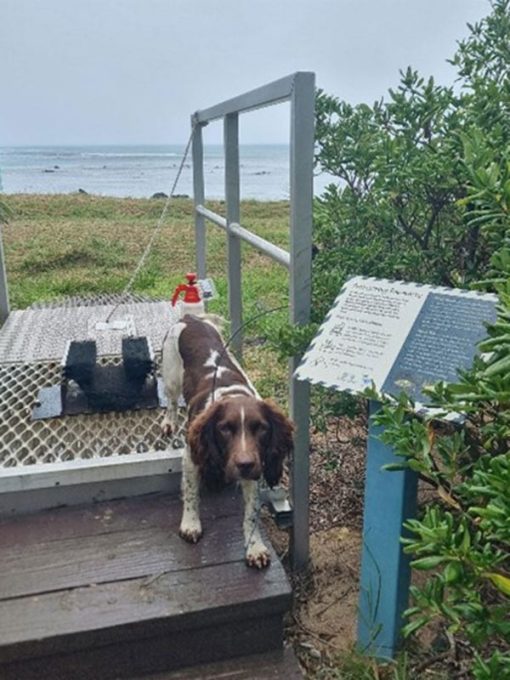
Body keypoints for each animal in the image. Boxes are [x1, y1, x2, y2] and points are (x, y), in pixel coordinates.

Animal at [161, 314, 292, 568]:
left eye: (261, 428)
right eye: (225, 429)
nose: (244, 464)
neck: (232, 394)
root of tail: (191, 318)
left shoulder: (254, 467)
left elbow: (251, 513)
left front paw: (254, 546)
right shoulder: (191, 456)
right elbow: (191, 493)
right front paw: (190, 524)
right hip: (171, 376)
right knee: (171, 402)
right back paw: (169, 422)